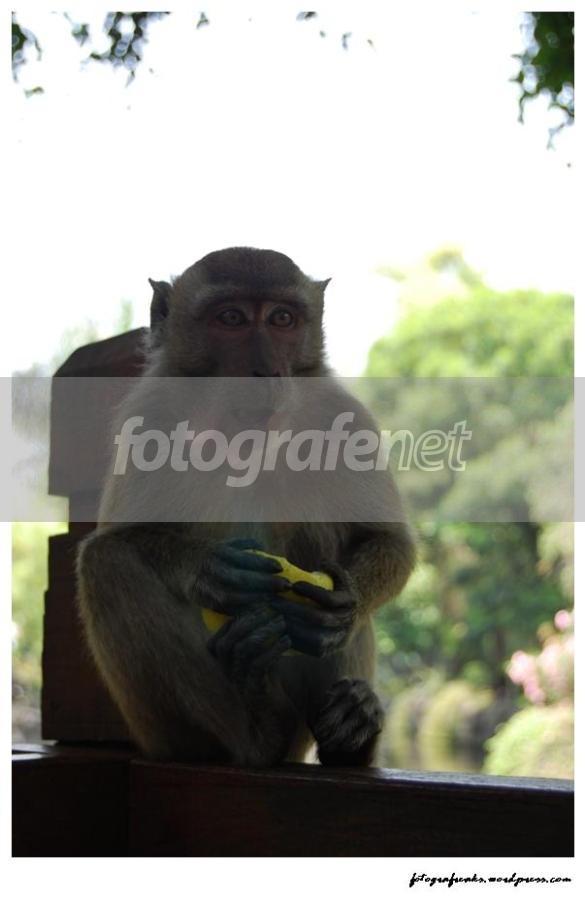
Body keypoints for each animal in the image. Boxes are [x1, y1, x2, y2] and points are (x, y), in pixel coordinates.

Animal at [77, 247, 415, 767]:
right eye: (231, 318)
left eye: (282, 319)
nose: (266, 372)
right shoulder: (148, 415)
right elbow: (123, 536)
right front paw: (204, 568)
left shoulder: (343, 414)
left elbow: (385, 540)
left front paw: (344, 604)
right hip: (157, 732)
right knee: (105, 561)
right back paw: (248, 726)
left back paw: (352, 732)